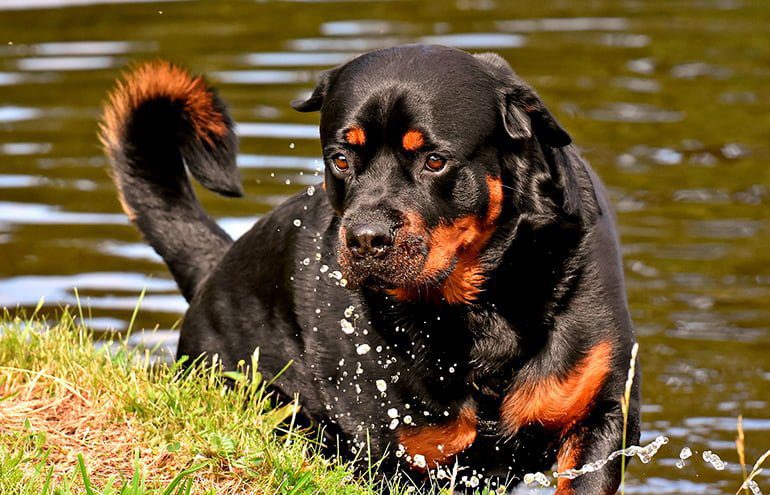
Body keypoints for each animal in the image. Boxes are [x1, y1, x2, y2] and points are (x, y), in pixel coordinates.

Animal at [103, 44, 640, 494]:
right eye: (340, 158)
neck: (480, 312)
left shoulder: (601, 418)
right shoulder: (391, 450)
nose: (365, 238)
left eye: (434, 160)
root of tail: (217, 266)